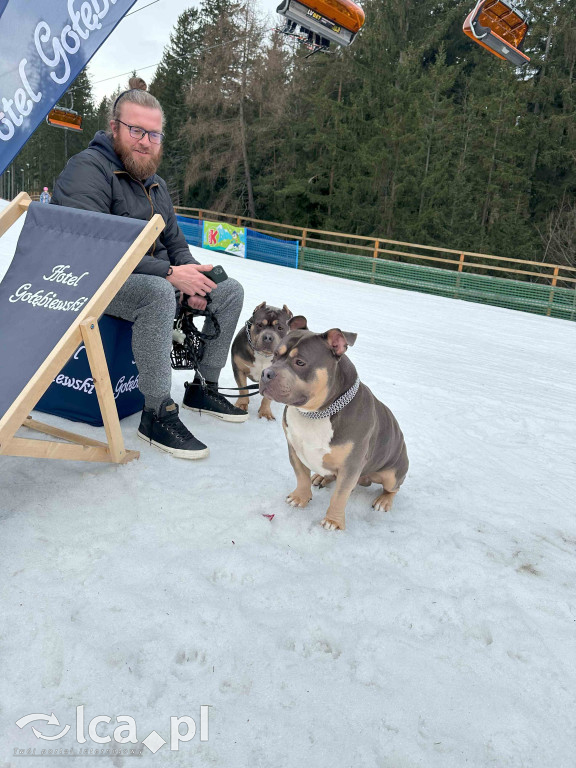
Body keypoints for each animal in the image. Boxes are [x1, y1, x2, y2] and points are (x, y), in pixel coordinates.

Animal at [258, 316, 408, 528]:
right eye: (274, 356)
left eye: (300, 362)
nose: (266, 373)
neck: (315, 413)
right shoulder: (295, 449)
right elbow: (301, 476)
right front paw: (300, 497)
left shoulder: (351, 465)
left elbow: (340, 495)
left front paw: (333, 521)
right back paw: (321, 477)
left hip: (392, 473)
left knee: (393, 488)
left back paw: (384, 501)